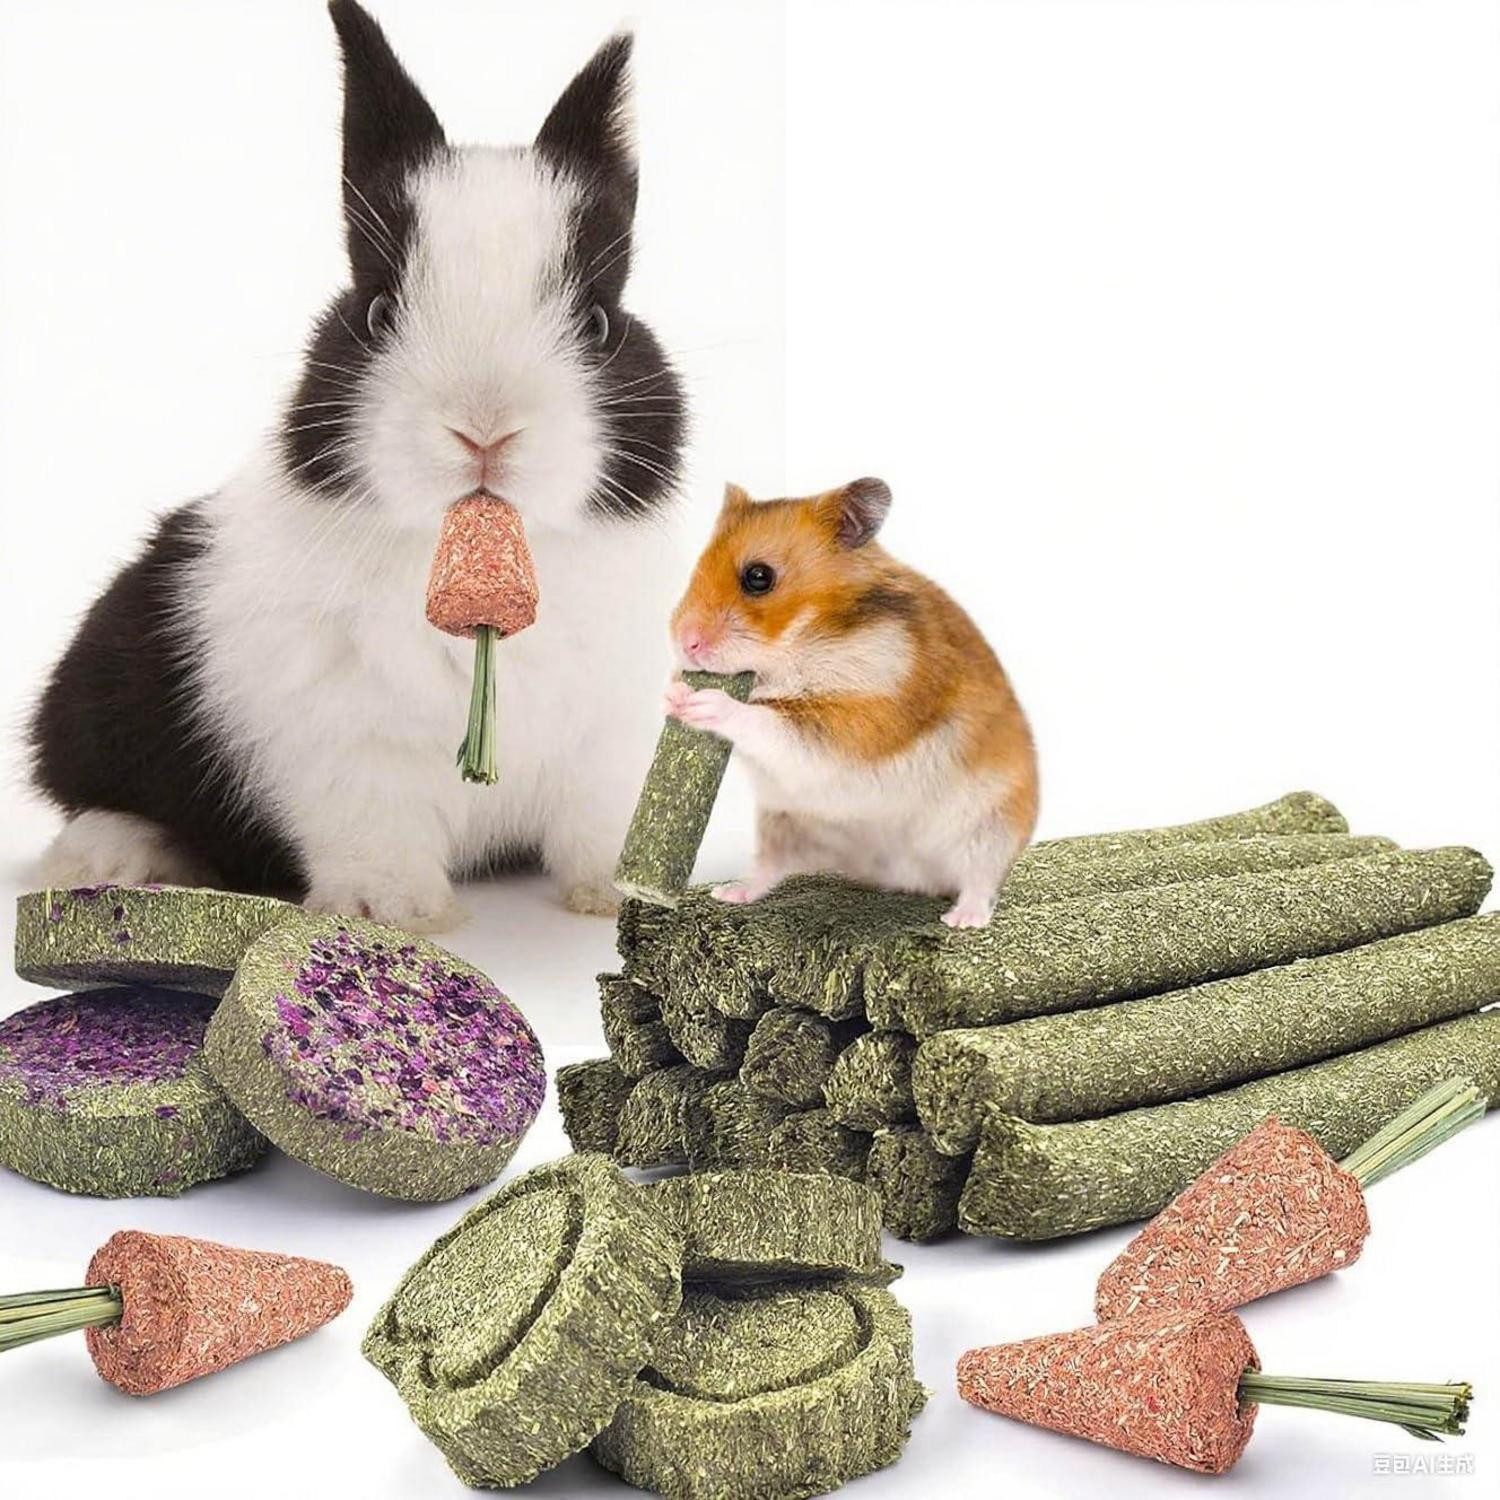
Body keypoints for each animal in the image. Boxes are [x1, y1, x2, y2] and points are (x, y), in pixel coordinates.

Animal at [28, 1, 687, 930]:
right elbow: (378, 834)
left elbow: (600, 832)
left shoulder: (612, 743)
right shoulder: (345, 751)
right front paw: (398, 915)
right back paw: (110, 857)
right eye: (375, 313)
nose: (484, 430)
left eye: (598, 323)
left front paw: (618, 900)